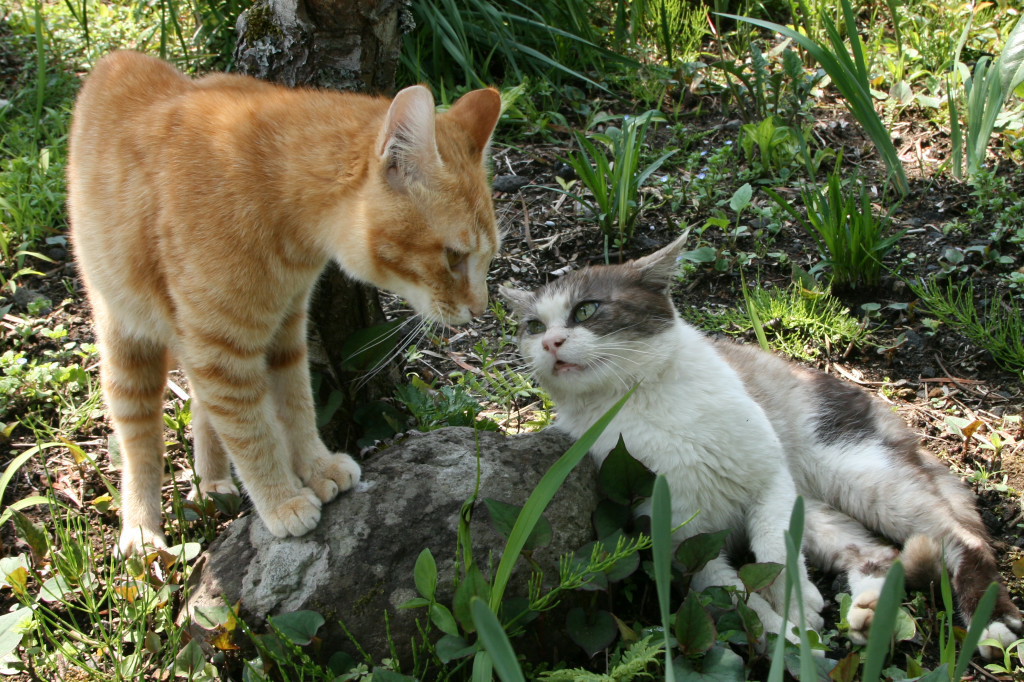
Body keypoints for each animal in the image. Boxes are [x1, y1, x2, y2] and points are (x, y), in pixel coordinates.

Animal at [68, 50, 503, 548]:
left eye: (487, 258)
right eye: (454, 257)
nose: (479, 309)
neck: (273, 192)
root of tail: (117, 58)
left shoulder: (285, 333)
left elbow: (295, 407)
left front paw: (316, 466)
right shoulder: (223, 353)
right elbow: (252, 433)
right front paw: (281, 499)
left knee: (200, 403)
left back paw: (212, 484)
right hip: (127, 339)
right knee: (139, 437)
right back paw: (141, 530)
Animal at [499, 235, 1019, 655]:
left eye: (585, 309)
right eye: (532, 326)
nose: (551, 342)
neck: (645, 405)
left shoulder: (771, 482)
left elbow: (772, 549)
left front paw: (795, 599)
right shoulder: (681, 541)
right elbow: (732, 598)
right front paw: (788, 637)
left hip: (856, 472)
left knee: (961, 538)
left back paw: (989, 624)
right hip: (819, 505)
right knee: (879, 553)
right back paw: (872, 612)